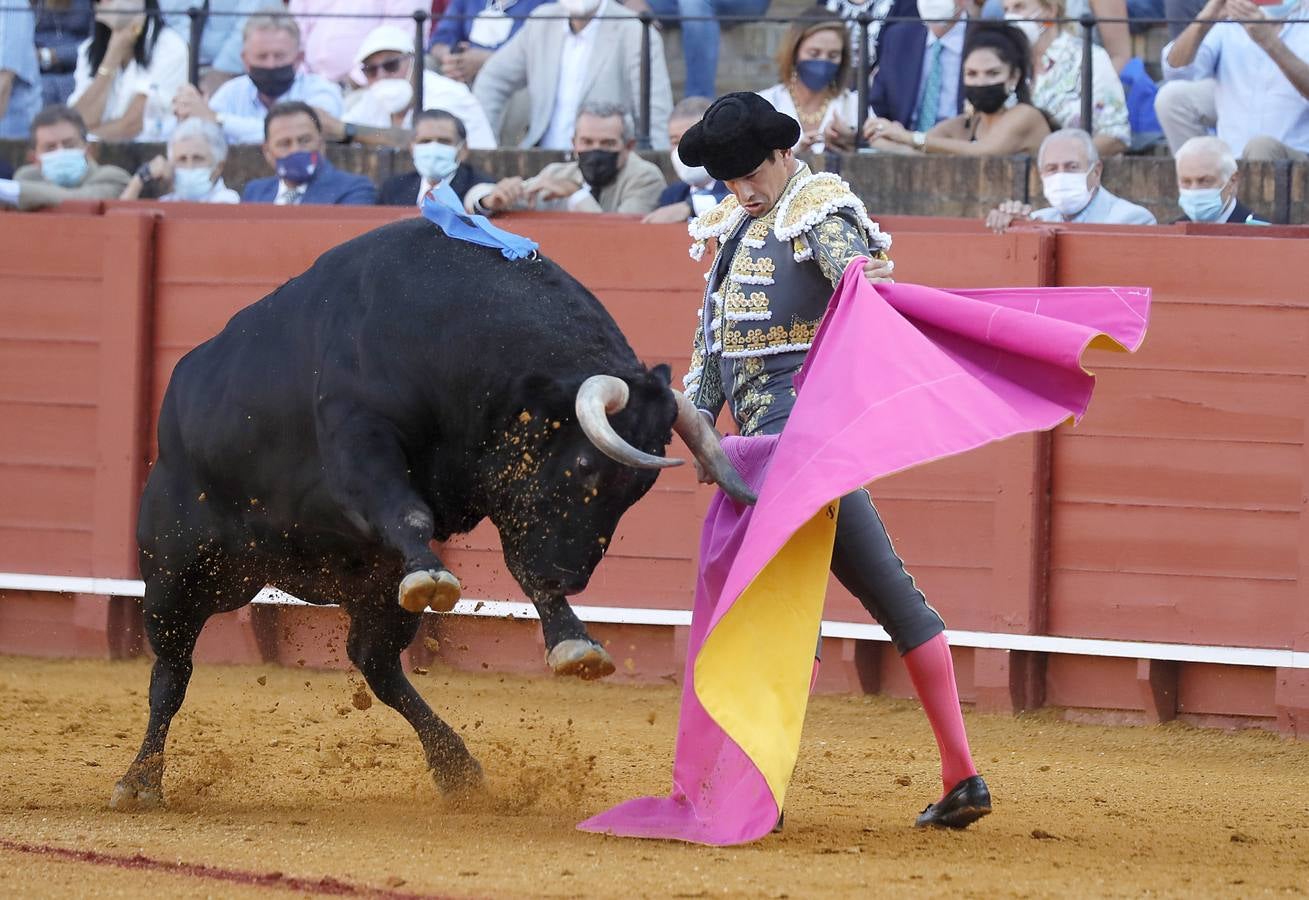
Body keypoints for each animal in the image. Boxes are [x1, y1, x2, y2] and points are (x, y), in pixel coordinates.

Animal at [113, 218, 753, 811]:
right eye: (588, 470)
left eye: (639, 488)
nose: (575, 578)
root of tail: (180, 393)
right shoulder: (359, 443)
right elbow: (408, 513)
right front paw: (431, 574)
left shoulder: (504, 491)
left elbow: (525, 570)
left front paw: (574, 643)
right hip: (173, 572)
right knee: (171, 673)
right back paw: (138, 782)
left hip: (365, 589)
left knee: (376, 665)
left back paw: (456, 767)